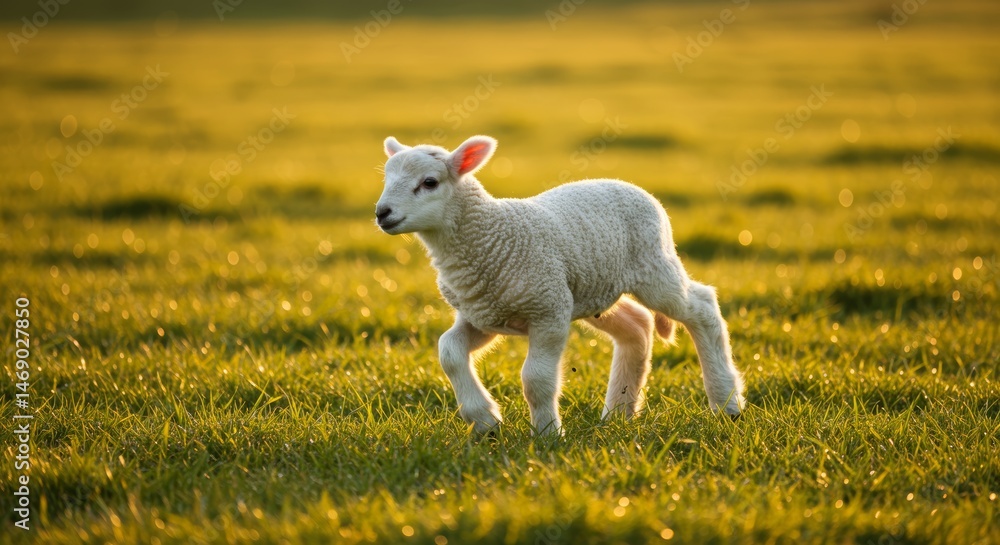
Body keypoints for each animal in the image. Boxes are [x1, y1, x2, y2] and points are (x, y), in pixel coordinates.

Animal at [375, 135, 745, 435]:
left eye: (429, 182)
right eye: (387, 179)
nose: (382, 213)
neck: (489, 236)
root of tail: (632, 187)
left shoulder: (548, 309)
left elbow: (536, 379)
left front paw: (547, 433)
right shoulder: (484, 314)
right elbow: (448, 351)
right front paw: (485, 421)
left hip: (654, 267)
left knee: (702, 307)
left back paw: (727, 403)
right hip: (595, 289)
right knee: (638, 325)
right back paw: (619, 413)